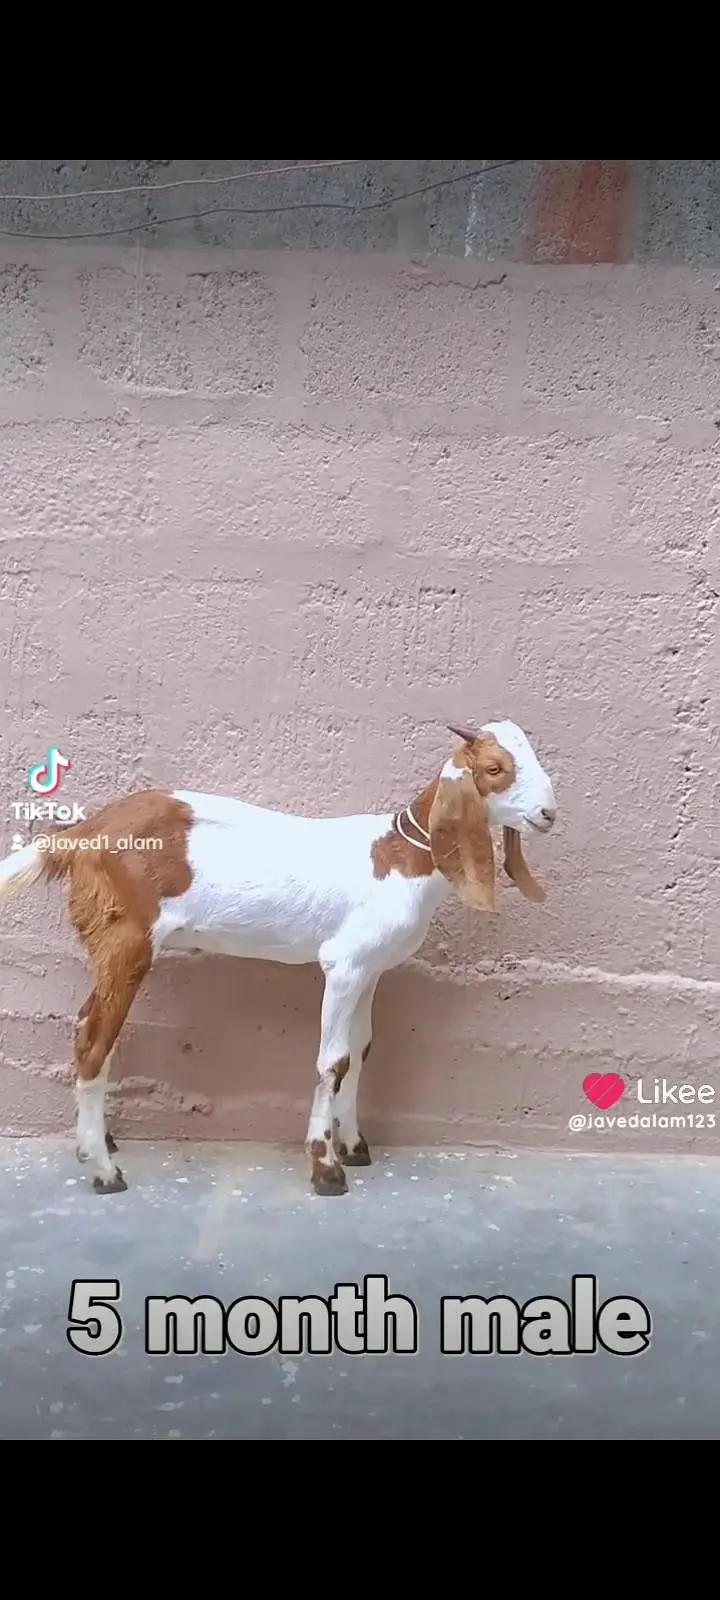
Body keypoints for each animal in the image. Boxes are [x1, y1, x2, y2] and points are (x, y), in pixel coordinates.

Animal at [0, 719, 557, 1199]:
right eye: (495, 768)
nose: (549, 813)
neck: (401, 856)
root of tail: (81, 835)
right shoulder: (343, 965)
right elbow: (332, 1061)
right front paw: (325, 1166)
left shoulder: (371, 969)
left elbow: (360, 1050)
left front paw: (353, 1145)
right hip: (127, 938)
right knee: (94, 1039)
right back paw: (103, 1168)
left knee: (88, 1028)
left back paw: (94, 1144)